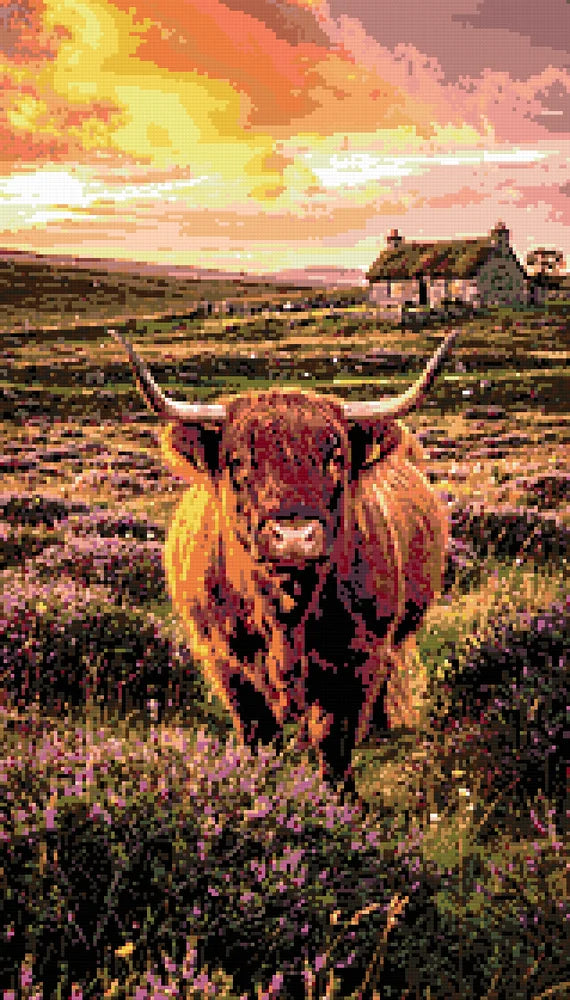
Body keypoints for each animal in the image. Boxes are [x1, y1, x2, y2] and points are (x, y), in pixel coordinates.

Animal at [112, 326, 456, 797]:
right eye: (238, 460)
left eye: (335, 457)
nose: (294, 536)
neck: (285, 611)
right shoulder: (227, 662)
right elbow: (259, 735)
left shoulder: (357, 658)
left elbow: (335, 741)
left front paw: (341, 801)